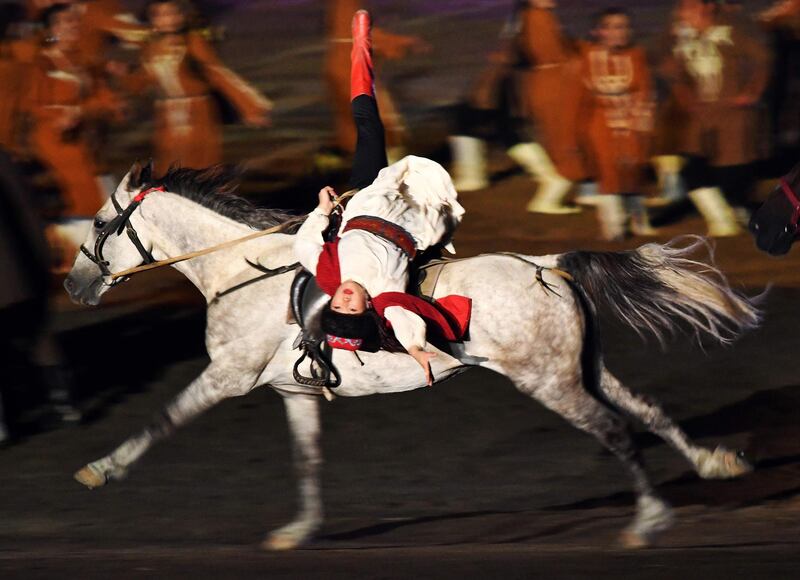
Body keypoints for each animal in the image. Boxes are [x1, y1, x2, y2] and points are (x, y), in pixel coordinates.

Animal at [65, 162, 760, 548]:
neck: (242, 270)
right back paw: (714, 462)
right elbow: (307, 461)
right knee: (646, 409)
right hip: (583, 369)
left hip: (548, 381)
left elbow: (164, 419)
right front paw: (301, 531)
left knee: (615, 430)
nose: (73, 285)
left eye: (98, 224)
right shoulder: (293, 391)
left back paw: (649, 522)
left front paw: (100, 468)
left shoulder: (226, 376)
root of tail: (545, 263)